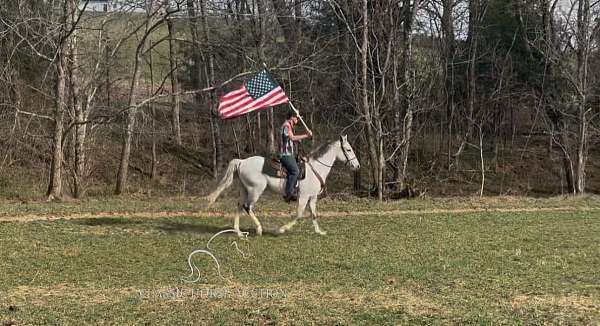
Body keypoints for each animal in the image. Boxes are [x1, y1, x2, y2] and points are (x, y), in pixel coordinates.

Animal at [204, 134, 358, 236]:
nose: (357, 166)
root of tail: (242, 161)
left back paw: (239, 232)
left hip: (244, 190)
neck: (315, 168)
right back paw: (259, 229)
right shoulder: (303, 197)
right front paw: (282, 229)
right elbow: (299, 214)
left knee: (239, 205)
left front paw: (319, 231)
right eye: (348, 149)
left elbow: (314, 214)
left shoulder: (312, 198)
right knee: (248, 207)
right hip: (255, 190)